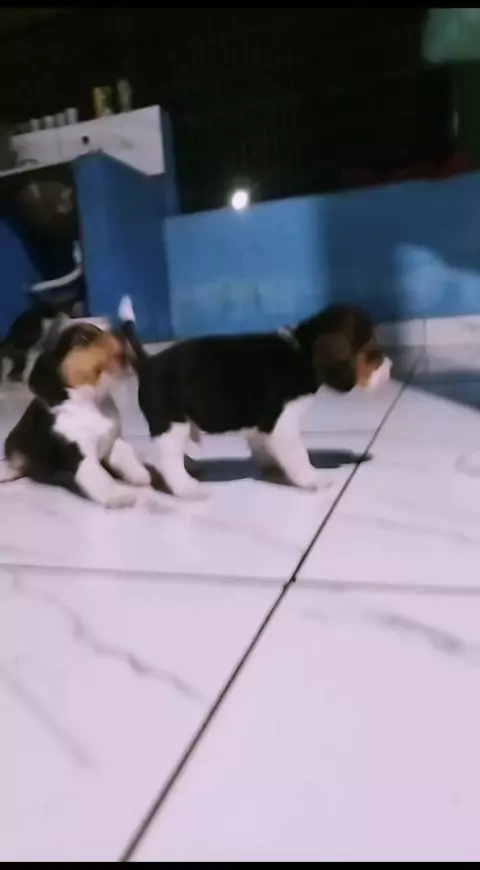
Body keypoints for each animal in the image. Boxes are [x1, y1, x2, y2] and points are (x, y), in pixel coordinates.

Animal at [0, 317, 150, 507]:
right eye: (83, 338)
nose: (122, 331)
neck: (91, 403)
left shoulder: (113, 440)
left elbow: (126, 455)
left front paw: (139, 473)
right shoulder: (81, 458)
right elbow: (101, 478)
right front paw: (118, 495)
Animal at [118, 297, 391, 499]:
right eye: (373, 353)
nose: (390, 369)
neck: (301, 349)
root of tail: (148, 363)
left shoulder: (262, 424)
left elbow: (262, 444)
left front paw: (270, 462)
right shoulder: (283, 423)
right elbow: (298, 456)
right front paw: (312, 479)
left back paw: (192, 466)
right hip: (172, 425)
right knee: (168, 460)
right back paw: (187, 488)